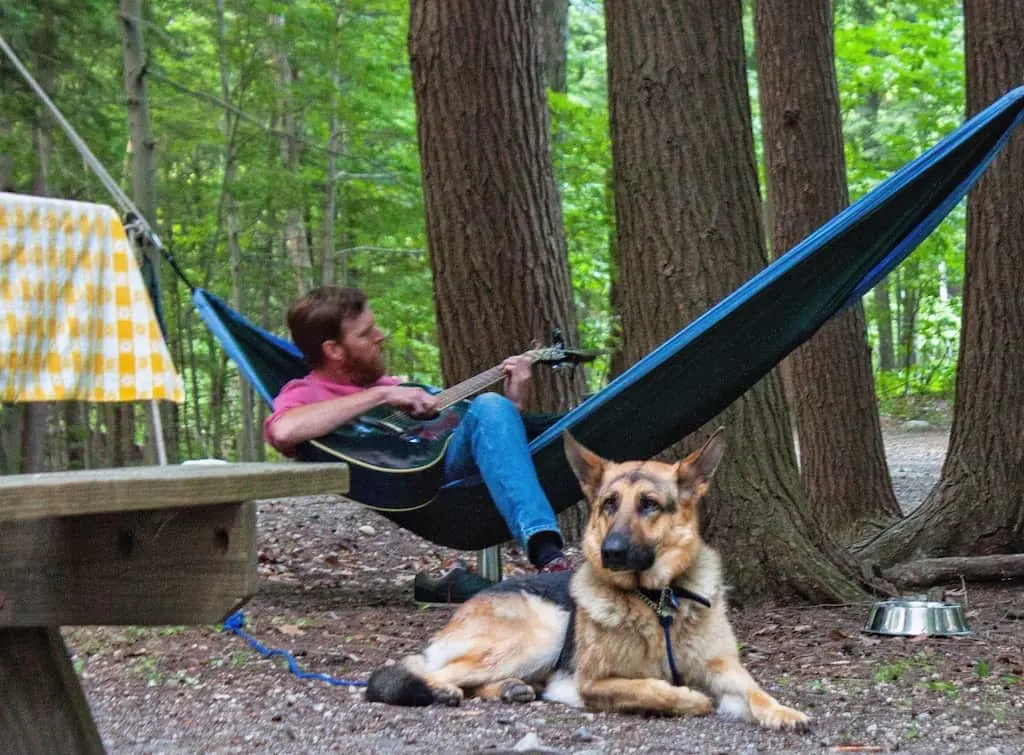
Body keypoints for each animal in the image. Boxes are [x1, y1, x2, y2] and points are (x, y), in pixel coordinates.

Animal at [366, 430, 806, 729]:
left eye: (649, 505)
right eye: (609, 504)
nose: (611, 552)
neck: (657, 600)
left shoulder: (724, 667)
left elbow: (754, 689)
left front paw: (783, 710)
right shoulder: (596, 682)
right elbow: (653, 689)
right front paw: (689, 698)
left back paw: (510, 689)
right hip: (541, 633)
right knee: (415, 674)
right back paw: (443, 689)